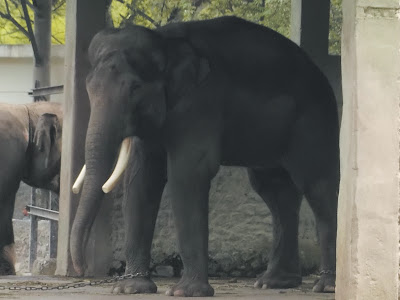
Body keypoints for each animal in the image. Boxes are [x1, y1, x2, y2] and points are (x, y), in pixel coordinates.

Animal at [70, 17, 340, 298]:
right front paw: (130, 289)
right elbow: (141, 179)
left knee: (317, 186)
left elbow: (187, 173)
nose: (81, 269)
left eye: (135, 88)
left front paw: (184, 292)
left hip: (315, 122)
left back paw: (327, 285)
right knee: (275, 191)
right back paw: (274, 282)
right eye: (88, 87)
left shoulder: (200, 104)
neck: (165, 43)